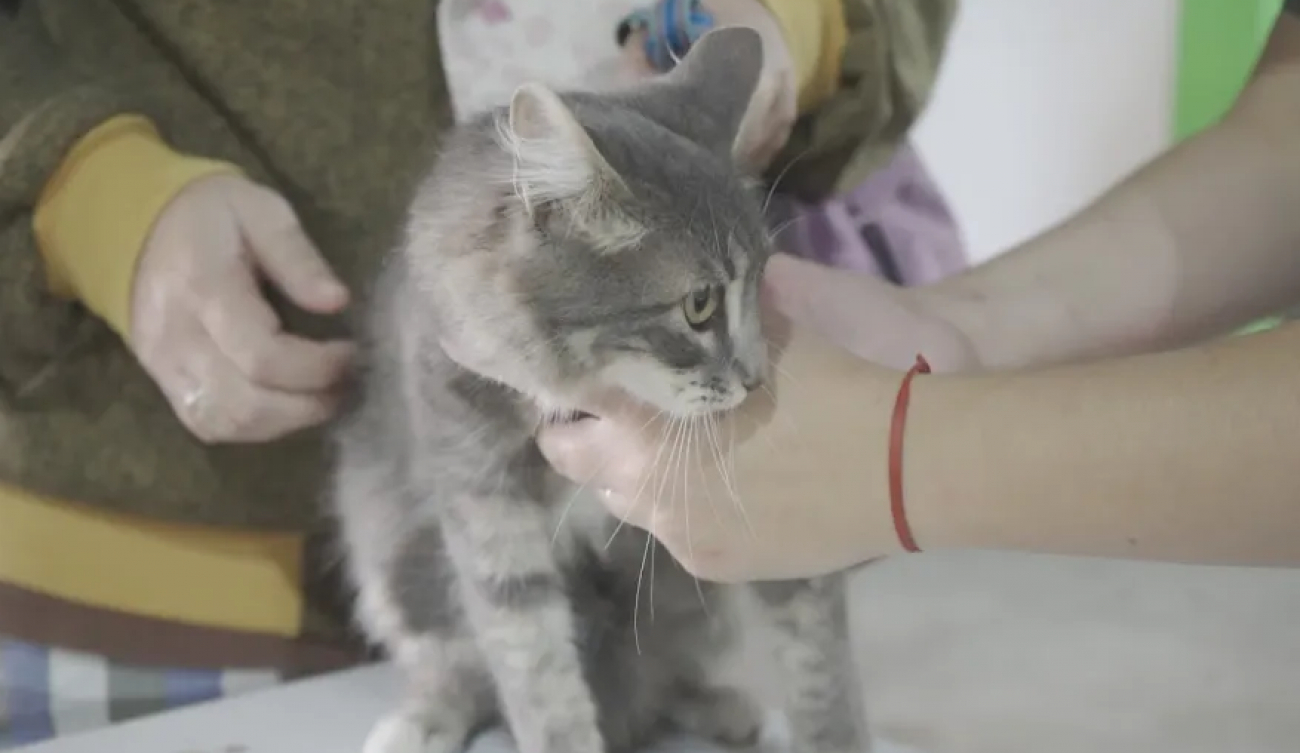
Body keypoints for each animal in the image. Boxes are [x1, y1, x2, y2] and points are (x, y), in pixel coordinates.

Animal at [330, 26, 868, 753]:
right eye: (699, 305)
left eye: (761, 284)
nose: (756, 379)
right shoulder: (483, 501)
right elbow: (535, 675)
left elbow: (818, 661)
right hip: (394, 564)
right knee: (458, 670)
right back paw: (420, 721)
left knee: (666, 674)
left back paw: (727, 710)